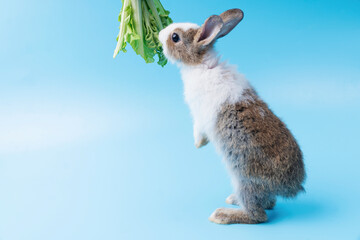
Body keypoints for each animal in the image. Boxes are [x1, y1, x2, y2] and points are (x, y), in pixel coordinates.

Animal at [159, 8, 306, 224]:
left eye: (175, 37)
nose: (159, 34)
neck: (201, 63)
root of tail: (292, 187)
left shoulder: (200, 115)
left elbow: (198, 129)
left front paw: (198, 144)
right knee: (269, 203)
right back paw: (233, 200)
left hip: (246, 182)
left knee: (259, 215)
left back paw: (222, 214)